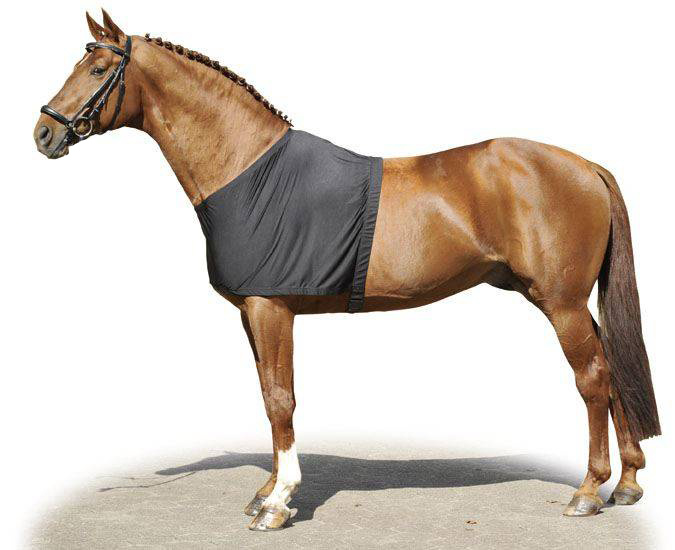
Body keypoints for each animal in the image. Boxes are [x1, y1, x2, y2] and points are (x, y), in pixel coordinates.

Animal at [34, 10, 660, 531]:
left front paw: (279, 502)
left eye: (97, 68)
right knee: (613, 369)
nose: (44, 133)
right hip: (567, 302)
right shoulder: (252, 314)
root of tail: (586, 166)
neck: (248, 169)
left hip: (561, 303)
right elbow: (267, 395)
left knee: (593, 379)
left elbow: (281, 398)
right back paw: (627, 483)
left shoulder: (272, 309)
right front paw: (264, 493)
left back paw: (587, 492)